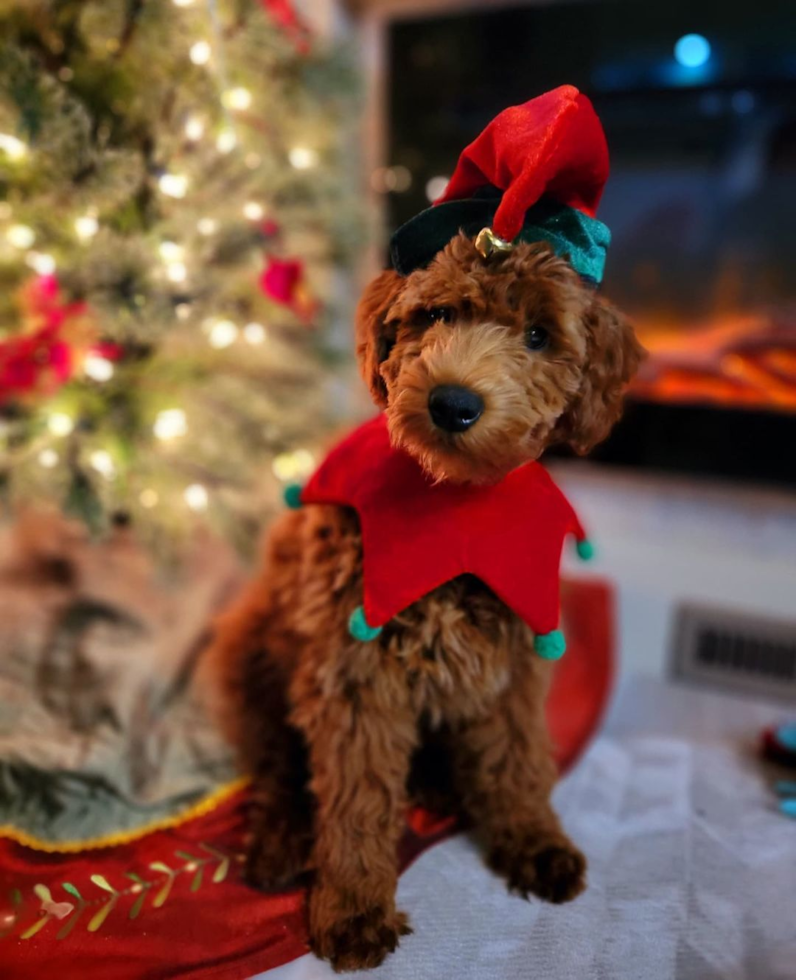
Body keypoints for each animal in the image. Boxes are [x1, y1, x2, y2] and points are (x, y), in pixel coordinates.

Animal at [208, 232, 644, 972]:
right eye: (437, 315)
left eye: (538, 334)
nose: (453, 403)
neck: (453, 509)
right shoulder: (355, 673)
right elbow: (357, 800)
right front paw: (353, 906)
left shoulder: (515, 660)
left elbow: (519, 759)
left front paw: (534, 840)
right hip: (255, 659)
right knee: (278, 769)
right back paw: (280, 843)